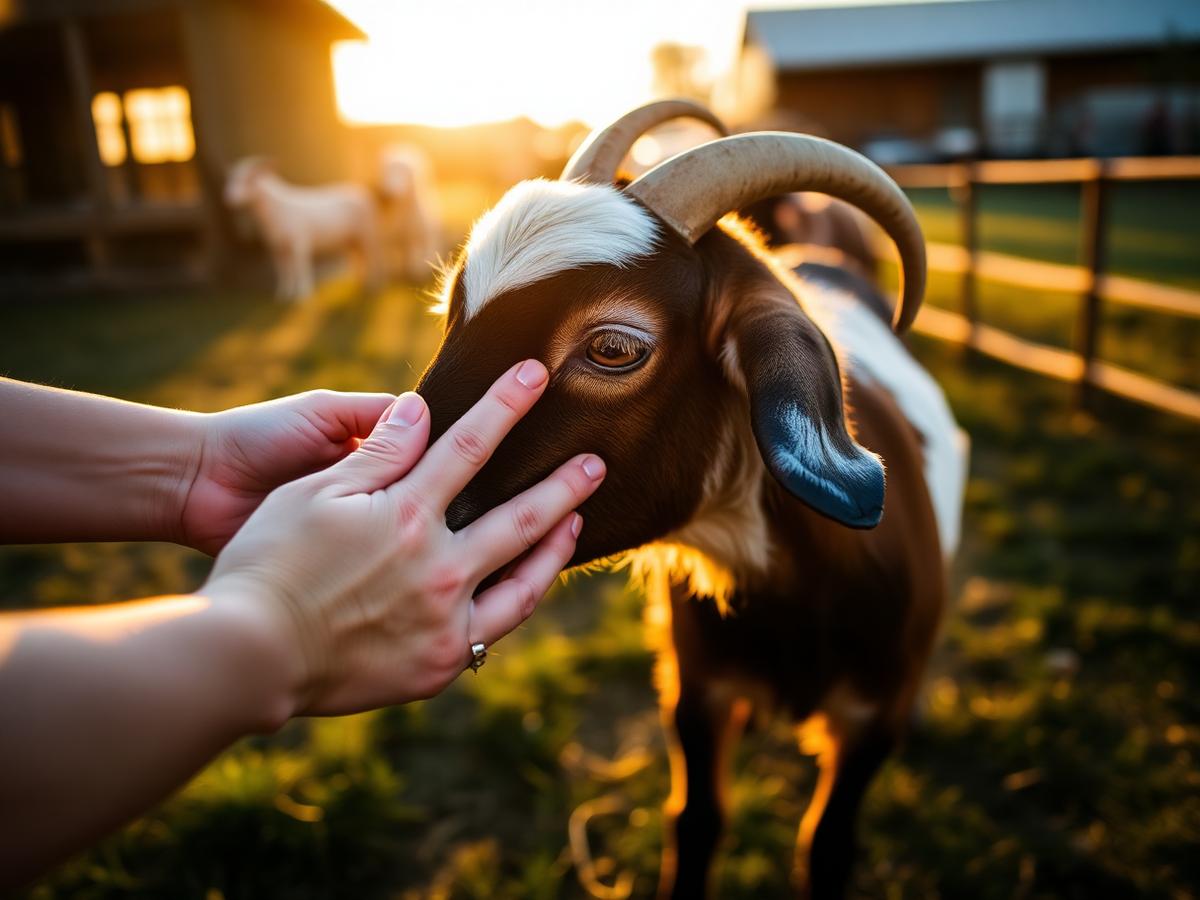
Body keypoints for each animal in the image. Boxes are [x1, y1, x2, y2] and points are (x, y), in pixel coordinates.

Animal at [224, 157, 382, 301]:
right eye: (231, 178)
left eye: (249, 180)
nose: (228, 198)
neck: (275, 209)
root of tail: (359, 192)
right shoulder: (276, 248)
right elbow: (284, 271)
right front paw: (283, 294)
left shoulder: (299, 243)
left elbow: (300, 268)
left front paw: (303, 294)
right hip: (351, 238)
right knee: (358, 257)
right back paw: (359, 281)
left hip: (367, 232)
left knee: (374, 255)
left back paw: (374, 283)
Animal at [414, 100, 968, 899]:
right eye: (453, 308)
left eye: (614, 348)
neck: (797, 599)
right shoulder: (696, 691)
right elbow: (697, 820)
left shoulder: (870, 720)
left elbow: (828, 844)